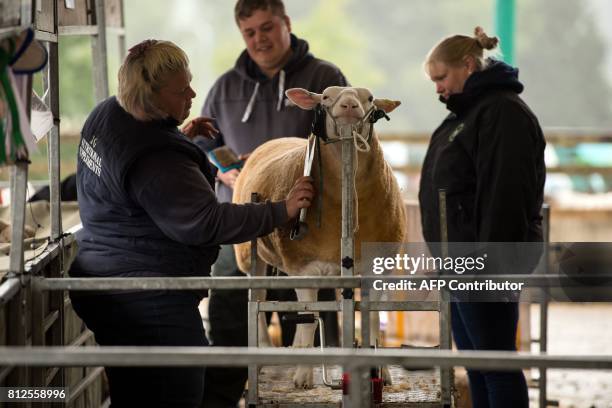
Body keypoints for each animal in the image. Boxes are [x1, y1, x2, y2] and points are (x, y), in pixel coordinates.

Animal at [231, 87, 406, 388]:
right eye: (325, 97)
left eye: (370, 98)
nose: (349, 105)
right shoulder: (305, 268)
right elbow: (310, 319)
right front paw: (303, 376)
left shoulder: (377, 267)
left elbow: (371, 317)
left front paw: (381, 373)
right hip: (250, 258)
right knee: (260, 298)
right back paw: (265, 350)